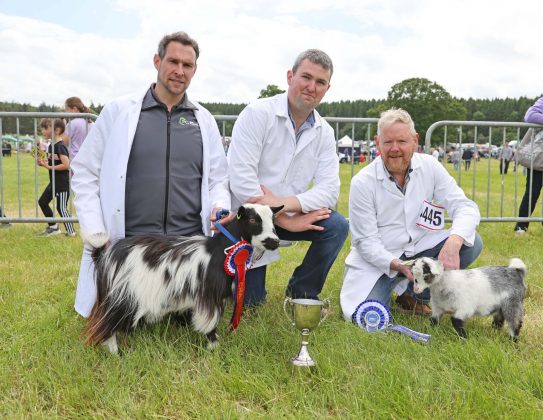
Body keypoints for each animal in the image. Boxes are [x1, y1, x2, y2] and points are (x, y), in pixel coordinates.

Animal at [84, 204, 284, 354]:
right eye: (252, 220)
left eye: (273, 220)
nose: (273, 241)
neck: (221, 251)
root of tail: (107, 256)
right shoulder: (209, 296)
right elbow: (210, 322)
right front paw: (213, 346)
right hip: (124, 296)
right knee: (106, 325)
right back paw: (115, 353)